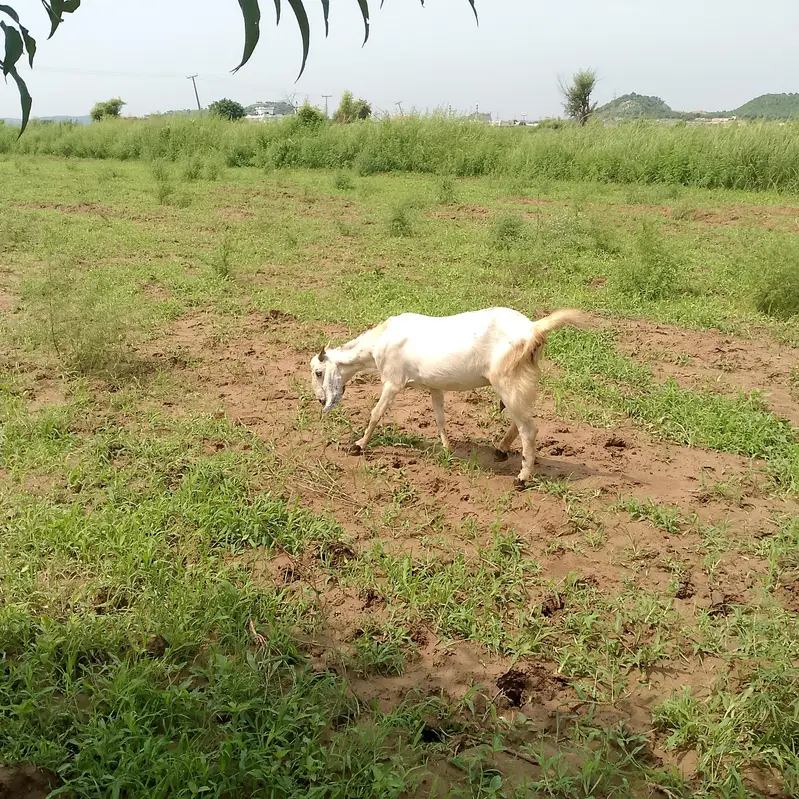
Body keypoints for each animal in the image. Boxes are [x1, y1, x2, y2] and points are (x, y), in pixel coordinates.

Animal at [310, 307, 587, 488]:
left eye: (318, 372)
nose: (322, 401)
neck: (381, 341)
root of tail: (533, 328)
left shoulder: (393, 382)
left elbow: (376, 413)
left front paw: (358, 446)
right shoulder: (435, 387)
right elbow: (439, 417)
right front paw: (447, 448)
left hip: (508, 381)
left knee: (529, 428)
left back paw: (522, 478)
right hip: (518, 383)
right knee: (521, 420)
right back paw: (500, 450)